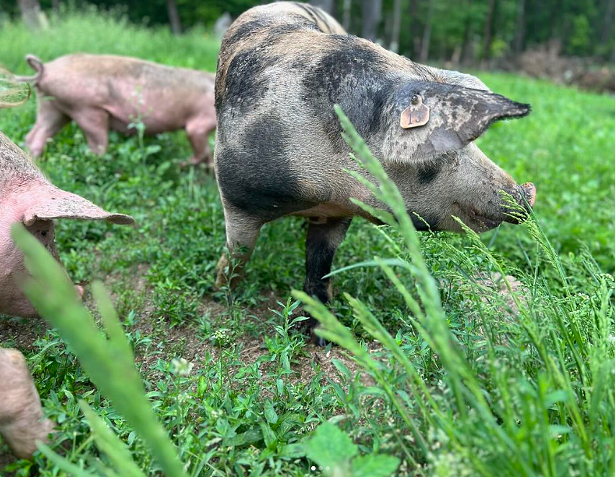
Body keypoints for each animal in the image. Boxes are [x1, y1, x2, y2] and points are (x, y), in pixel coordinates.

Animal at [16, 52, 218, 165]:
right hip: (86, 109)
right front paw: (182, 164)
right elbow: (201, 147)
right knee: (97, 146)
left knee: (35, 135)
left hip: (52, 106)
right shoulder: (199, 123)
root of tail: (46, 69)